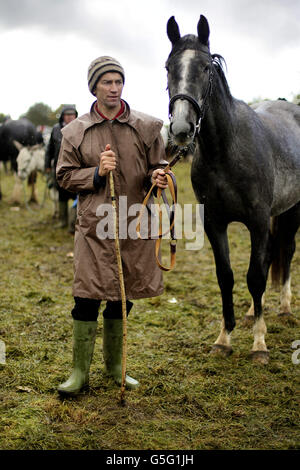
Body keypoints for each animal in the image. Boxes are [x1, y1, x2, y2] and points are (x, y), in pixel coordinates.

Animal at [166, 14, 300, 364]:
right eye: (168, 67)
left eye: (205, 68)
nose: (182, 129)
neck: (226, 151)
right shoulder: (215, 223)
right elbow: (226, 276)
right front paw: (224, 338)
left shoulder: (256, 221)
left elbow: (255, 275)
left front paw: (259, 344)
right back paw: (256, 310)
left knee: (286, 252)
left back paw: (283, 306)